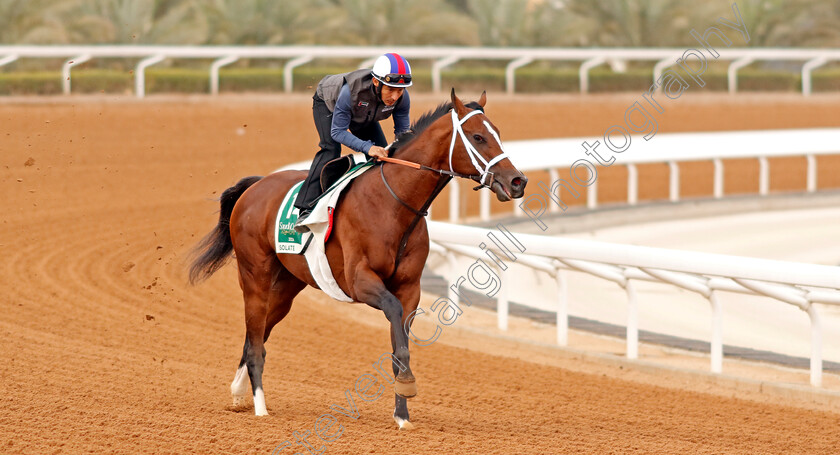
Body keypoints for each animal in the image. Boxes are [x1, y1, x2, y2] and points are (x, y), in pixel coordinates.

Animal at [192, 90, 524, 432]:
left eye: (498, 133)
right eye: (478, 137)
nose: (517, 181)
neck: (392, 204)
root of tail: (255, 186)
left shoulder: (410, 288)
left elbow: (400, 342)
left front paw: (402, 415)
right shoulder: (359, 280)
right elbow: (393, 313)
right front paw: (408, 385)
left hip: (286, 286)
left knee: (255, 335)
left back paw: (238, 392)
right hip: (254, 276)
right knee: (256, 340)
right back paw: (260, 407)